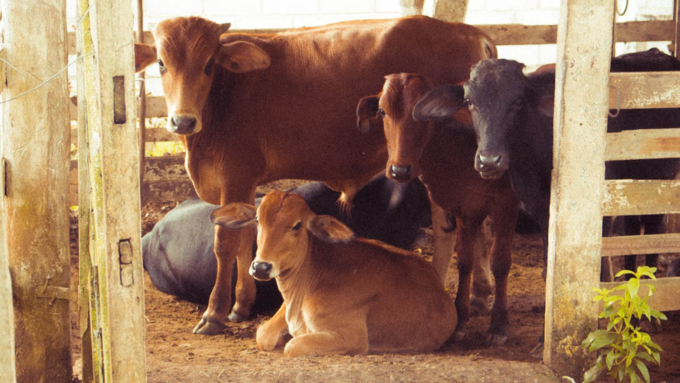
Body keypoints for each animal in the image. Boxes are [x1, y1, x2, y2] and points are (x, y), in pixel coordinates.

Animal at [212, 190, 456, 358]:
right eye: (257, 221)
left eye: (297, 225)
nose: (261, 267)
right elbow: (262, 335)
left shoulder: (351, 337)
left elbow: (293, 346)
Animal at [356, 73, 516, 346]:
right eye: (382, 111)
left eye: (422, 113)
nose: (400, 170)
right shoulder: (465, 208)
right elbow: (464, 261)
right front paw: (460, 320)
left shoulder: (506, 204)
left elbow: (501, 262)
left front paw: (498, 325)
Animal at [410, 49, 680, 280]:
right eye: (469, 101)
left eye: (518, 101)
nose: (489, 161)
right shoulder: (540, 208)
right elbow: (548, 266)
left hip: (658, 182)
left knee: (653, 230)